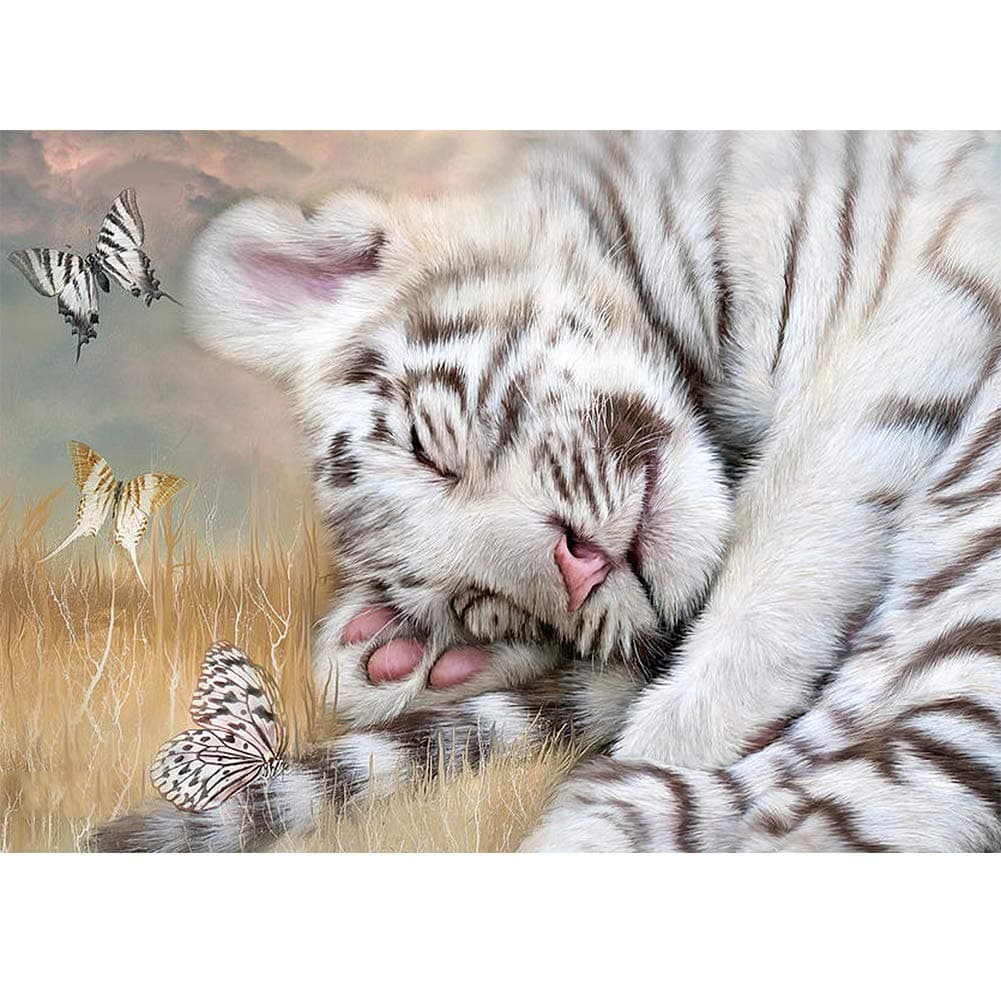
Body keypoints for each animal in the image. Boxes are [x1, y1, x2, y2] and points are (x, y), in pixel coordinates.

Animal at [92, 131, 1001, 852]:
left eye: (432, 448)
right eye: (485, 603)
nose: (579, 566)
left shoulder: (935, 257)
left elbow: (804, 488)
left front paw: (687, 716)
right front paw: (386, 654)